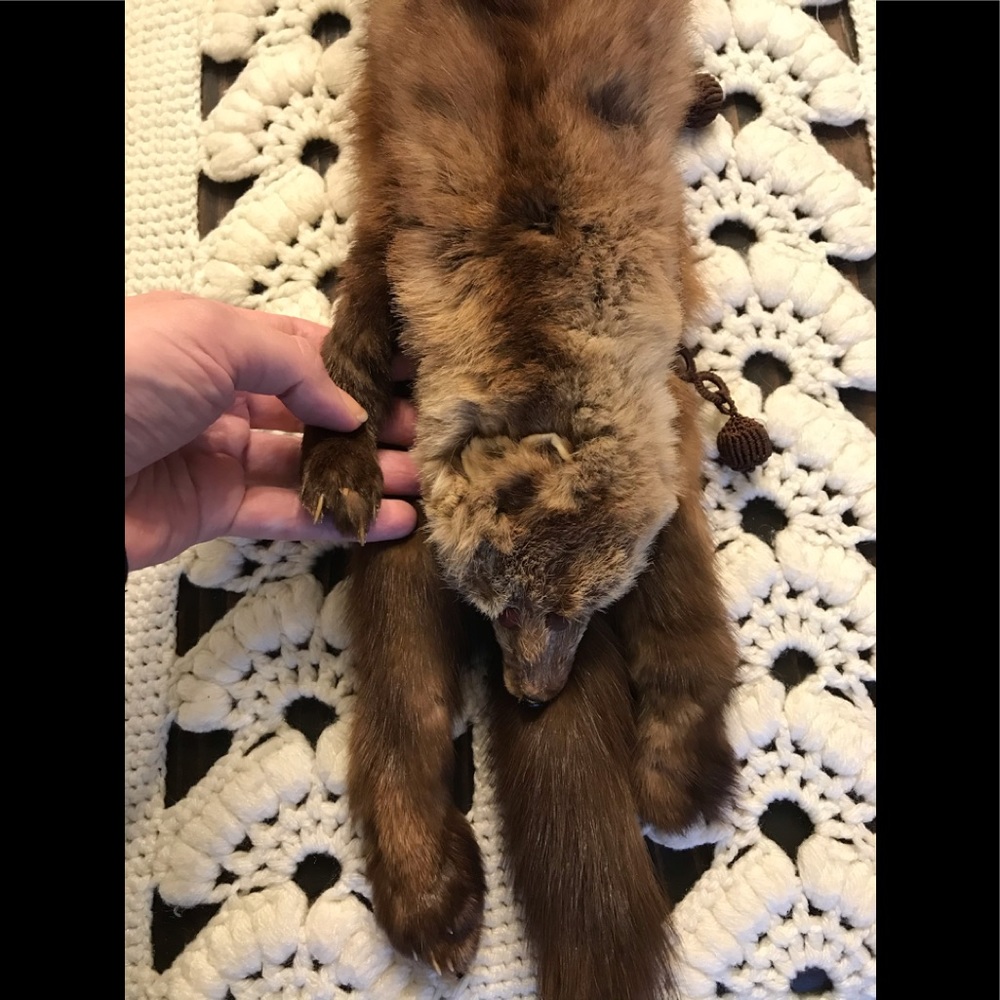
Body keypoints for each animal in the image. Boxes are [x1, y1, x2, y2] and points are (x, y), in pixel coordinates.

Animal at [300, 0, 740, 996]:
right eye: (495, 607)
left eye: (588, 609)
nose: (532, 697)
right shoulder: (397, 225)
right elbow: (345, 356)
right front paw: (334, 463)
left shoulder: (669, 404)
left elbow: (689, 623)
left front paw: (678, 770)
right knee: (402, 714)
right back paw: (431, 898)